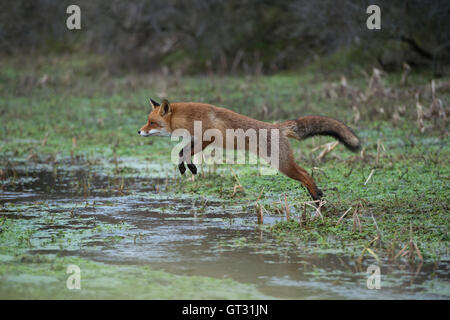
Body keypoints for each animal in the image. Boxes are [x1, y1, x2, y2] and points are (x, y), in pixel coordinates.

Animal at [139, 100, 360, 200]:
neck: (188, 117)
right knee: (306, 173)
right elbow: (181, 153)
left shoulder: (207, 137)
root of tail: (277, 126)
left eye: (152, 122)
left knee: (306, 174)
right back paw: (316, 195)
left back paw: (316, 196)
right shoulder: (195, 139)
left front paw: (189, 167)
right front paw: (188, 168)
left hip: (282, 164)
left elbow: (185, 152)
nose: (139, 131)